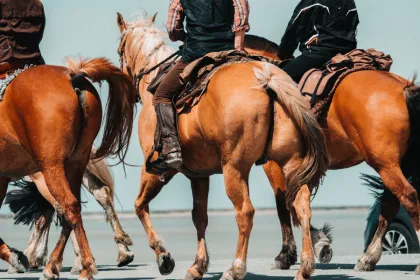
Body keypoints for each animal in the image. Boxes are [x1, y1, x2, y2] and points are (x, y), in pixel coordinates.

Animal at [116, 12, 330, 280]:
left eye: (119, 50)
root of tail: (266, 78)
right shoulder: (198, 175)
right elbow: (199, 217)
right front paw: (198, 265)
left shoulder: (156, 170)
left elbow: (139, 206)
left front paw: (164, 257)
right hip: (290, 162)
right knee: (301, 205)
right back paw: (305, 266)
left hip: (235, 168)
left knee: (246, 212)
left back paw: (235, 268)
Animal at [244, 34, 420, 276]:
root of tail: (405, 88)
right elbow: (297, 202)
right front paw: (320, 243)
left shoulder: (275, 165)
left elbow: (284, 204)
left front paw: (286, 255)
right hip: (396, 164)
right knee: (390, 204)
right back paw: (368, 258)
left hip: (385, 164)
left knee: (409, 198)